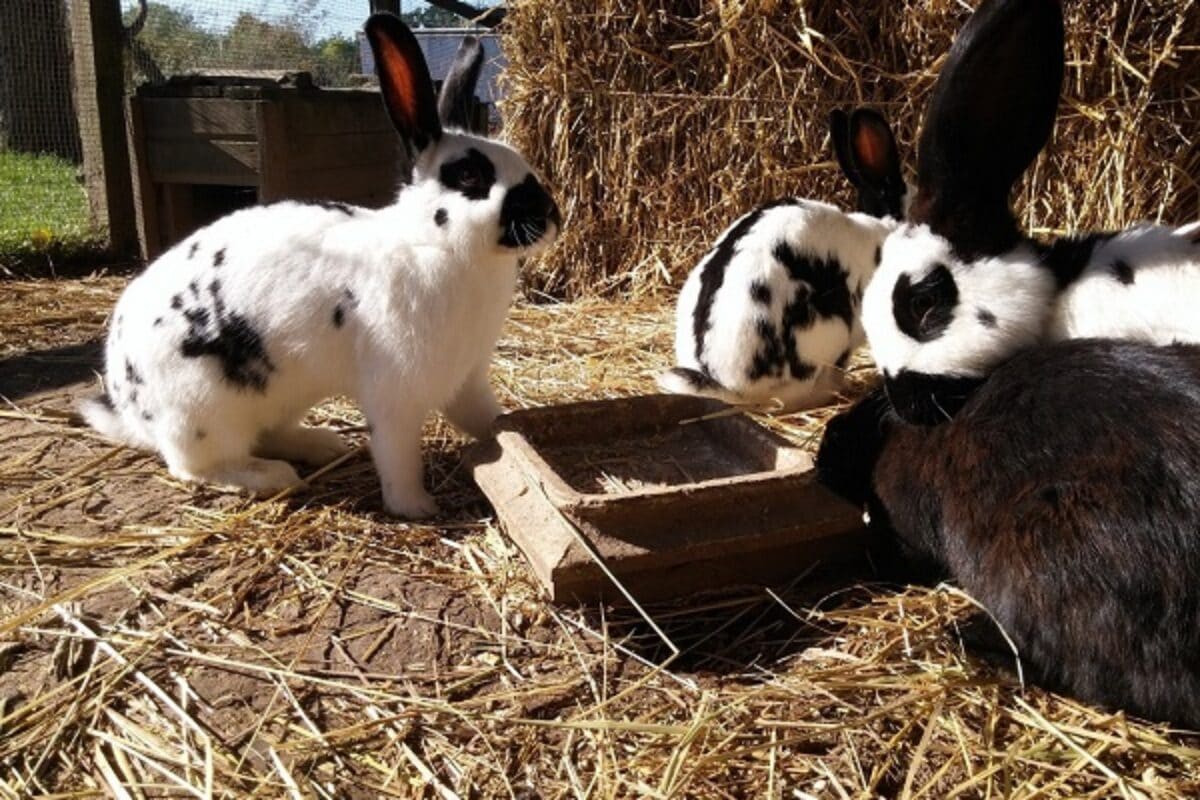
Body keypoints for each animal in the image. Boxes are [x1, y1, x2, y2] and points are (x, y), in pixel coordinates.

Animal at [82, 17, 559, 525]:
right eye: (470, 176)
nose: (551, 215)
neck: (434, 246)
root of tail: (131, 407)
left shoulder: (466, 378)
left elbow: (487, 419)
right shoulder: (396, 395)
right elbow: (397, 455)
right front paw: (416, 507)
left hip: (281, 395)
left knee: (268, 433)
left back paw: (322, 445)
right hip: (204, 410)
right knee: (194, 465)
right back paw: (271, 475)